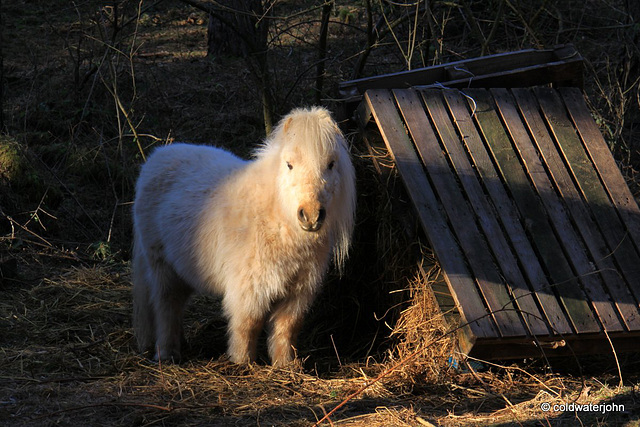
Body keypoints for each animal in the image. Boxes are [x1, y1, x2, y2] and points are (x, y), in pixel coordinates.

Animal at [132, 107, 358, 368]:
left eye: (331, 164)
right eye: (289, 164)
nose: (310, 216)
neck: (274, 217)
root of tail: (157, 157)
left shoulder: (298, 292)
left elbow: (287, 328)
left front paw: (285, 365)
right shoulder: (249, 289)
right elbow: (247, 325)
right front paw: (243, 363)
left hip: (183, 270)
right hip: (162, 268)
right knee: (166, 307)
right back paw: (167, 354)